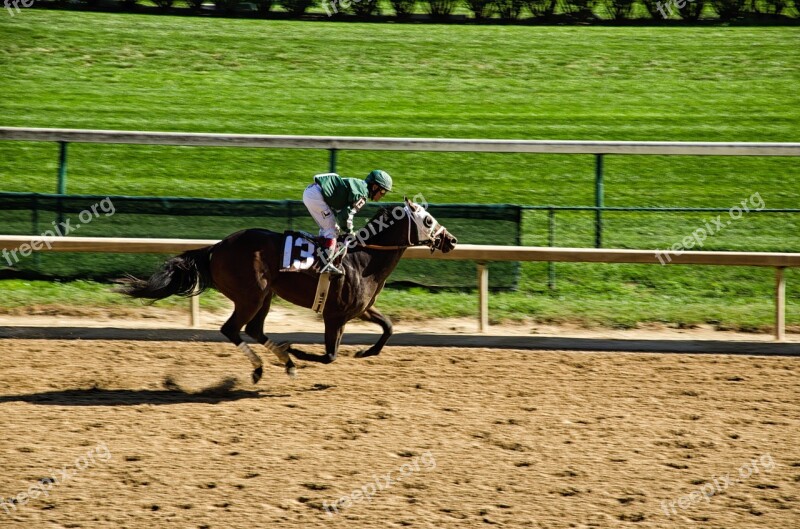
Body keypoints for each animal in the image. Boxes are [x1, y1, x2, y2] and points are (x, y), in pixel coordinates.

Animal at [119, 198, 456, 384]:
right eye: (428, 220)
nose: (451, 240)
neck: (364, 259)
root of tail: (216, 248)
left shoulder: (360, 309)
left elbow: (388, 327)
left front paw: (365, 351)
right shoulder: (335, 316)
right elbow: (329, 356)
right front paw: (297, 349)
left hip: (265, 296)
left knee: (253, 329)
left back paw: (285, 363)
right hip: (251, 295)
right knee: (232, 329)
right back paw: (268, 365)